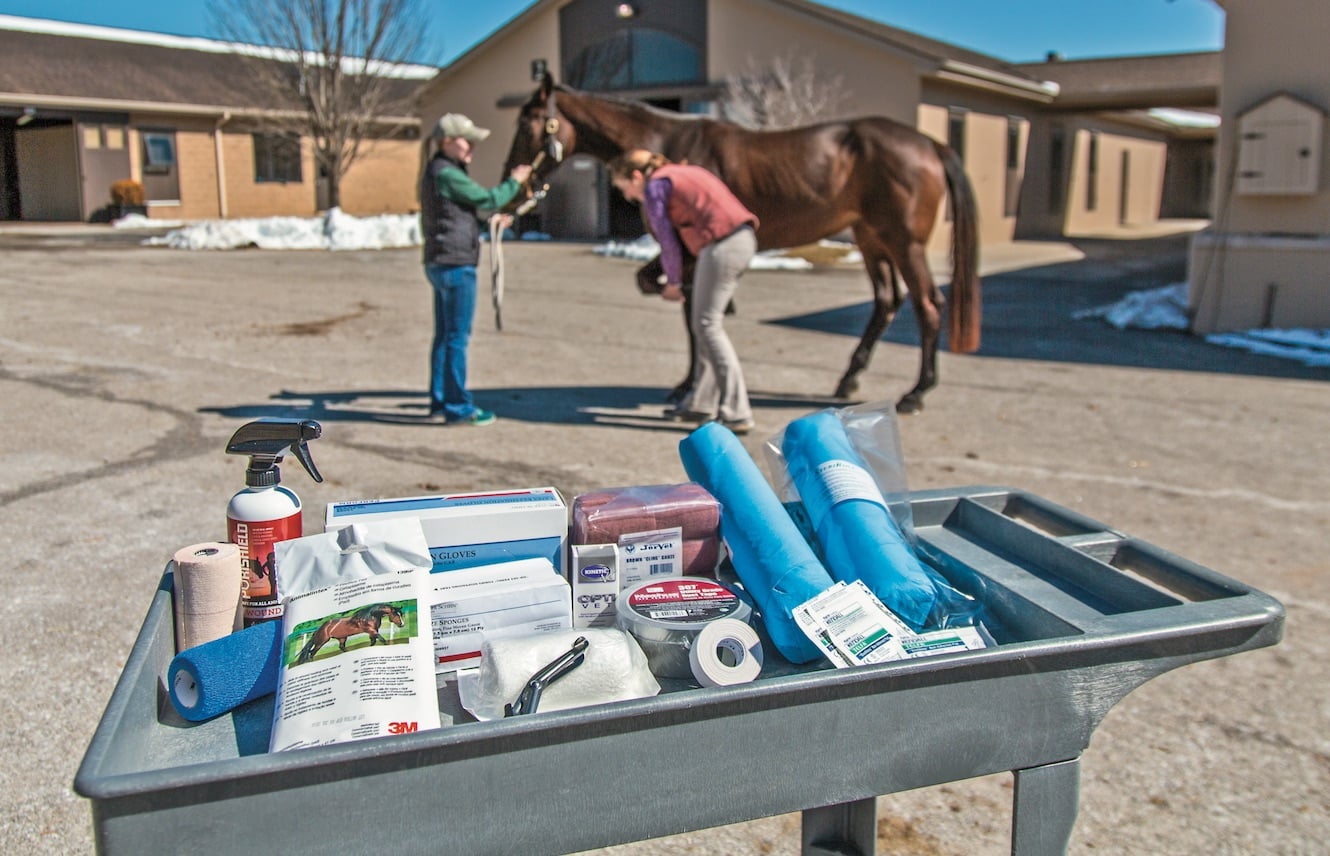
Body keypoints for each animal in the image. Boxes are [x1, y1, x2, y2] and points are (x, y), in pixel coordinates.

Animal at [502, 71, 984, 412]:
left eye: (528, 123)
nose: (515, 182)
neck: (667, 145)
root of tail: (930, 144)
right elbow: (667, 296)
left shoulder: (687, 252)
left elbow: (692, 320)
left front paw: (687, 388)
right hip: (871, 240)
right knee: (886, 301)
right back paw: (848, 381)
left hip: (904, 243)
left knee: (927, 305)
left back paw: (915, 394)